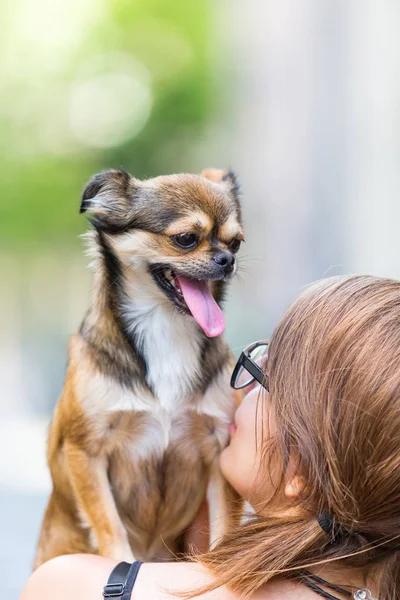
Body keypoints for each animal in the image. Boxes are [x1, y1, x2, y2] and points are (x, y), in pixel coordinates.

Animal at [33, 168, 244, 568]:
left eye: (237, 242)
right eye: (186, 239)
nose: (228, 260)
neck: (165, 327)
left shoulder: (219, 449)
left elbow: (225, 524)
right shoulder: (85, 450)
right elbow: (108, 522)